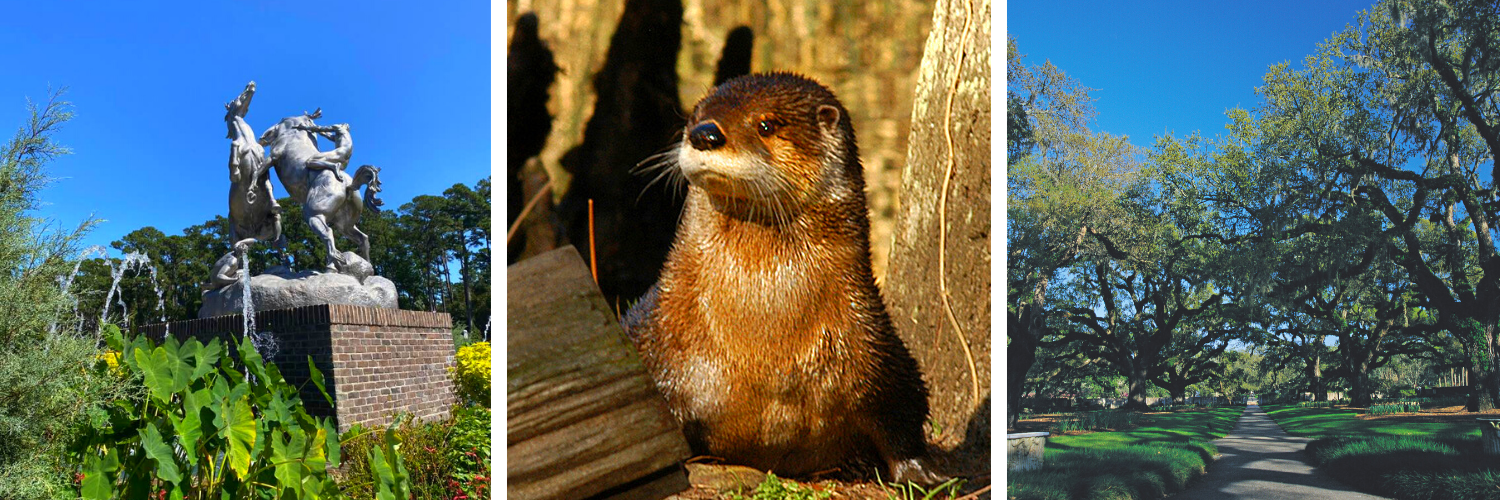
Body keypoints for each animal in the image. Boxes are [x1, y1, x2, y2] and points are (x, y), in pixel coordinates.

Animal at [621, 73, 936, 483]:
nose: (705, 133)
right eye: (694, 115)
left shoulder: (876, 346)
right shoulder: (659, 347)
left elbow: (901, 415)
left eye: (766, 124)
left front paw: (921, 472)